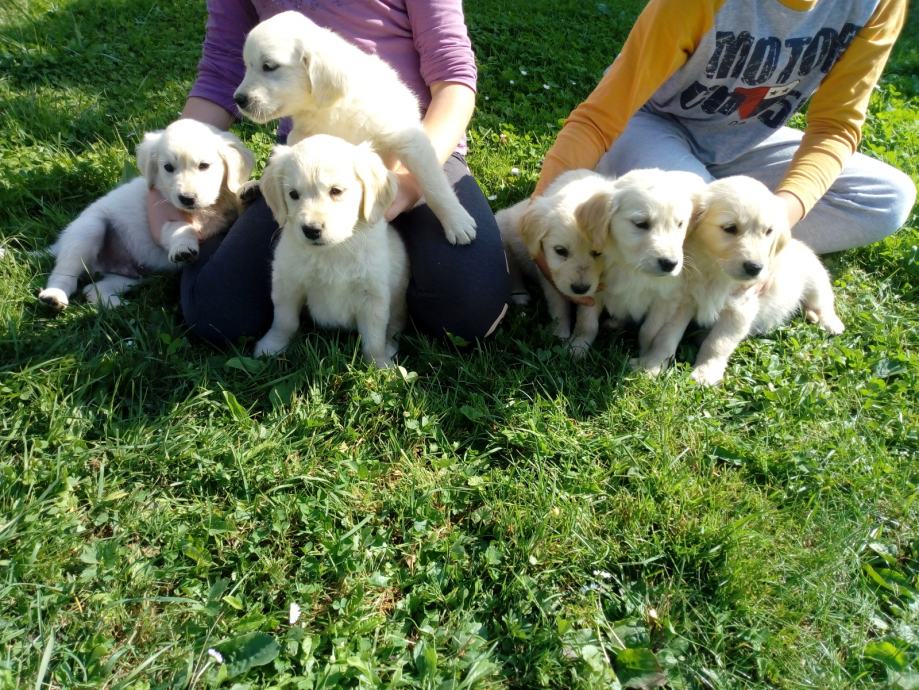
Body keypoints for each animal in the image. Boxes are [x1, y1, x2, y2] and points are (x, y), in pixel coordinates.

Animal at [38, 120, 253, 310]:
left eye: (204, 165)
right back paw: (54, 296)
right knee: (64, 274)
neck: (207, 208)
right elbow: (180, 227)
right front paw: (183, 247)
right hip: (88, 230)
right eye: (168, 167)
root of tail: (60, 244)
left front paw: (249, 189)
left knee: (92, 289)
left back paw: (119, 306)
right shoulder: (164, 217)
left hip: (131, 277)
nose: (187, 199)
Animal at [234, 10, 478, 245]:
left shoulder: (407, 138)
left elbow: (433, 184)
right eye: (246, 66)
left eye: (269, 67)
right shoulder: (301, 136)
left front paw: (456, 221)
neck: (330, 107)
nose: (238, 99)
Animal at [253, 131, 408, 362]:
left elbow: (374, 338)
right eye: (293, 194)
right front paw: (271, 346)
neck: (333, 250)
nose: (311, 230)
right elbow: (284, 322)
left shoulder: (373, 294)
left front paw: (379, 363)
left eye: (336, 191)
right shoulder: (288, 284)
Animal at [636, 175, 844, 384]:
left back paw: (831, 323)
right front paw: (652, 364)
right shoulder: (682, 301)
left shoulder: (739, 309)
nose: (755, 268)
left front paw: (706, 372)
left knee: (824, 302)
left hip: (815, 278)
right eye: (730, 228)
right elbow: (666, 336)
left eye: (768, 231)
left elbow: (717, 343)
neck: (715, 271)